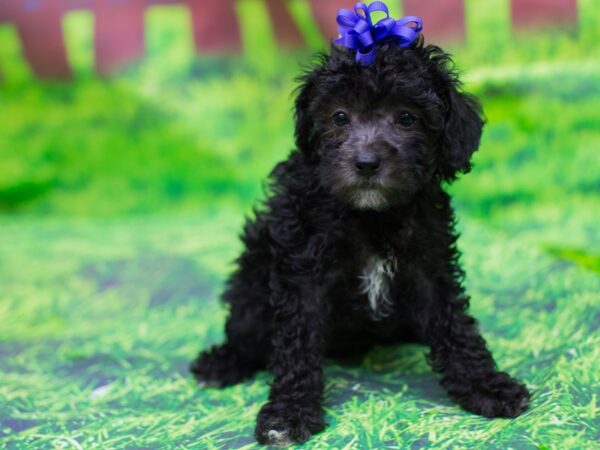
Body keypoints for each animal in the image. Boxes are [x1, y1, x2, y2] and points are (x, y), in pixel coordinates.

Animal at [191, 39, 528, 446]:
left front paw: (486, 386)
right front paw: (289, 413)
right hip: (252, 286)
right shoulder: (302, 270)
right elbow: (297, 343)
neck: (369, 215)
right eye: (339, 117)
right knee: (245, 331)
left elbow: (455, 326)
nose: (366, 163)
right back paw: (221, 363)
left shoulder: (429, 263)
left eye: (406, 118)